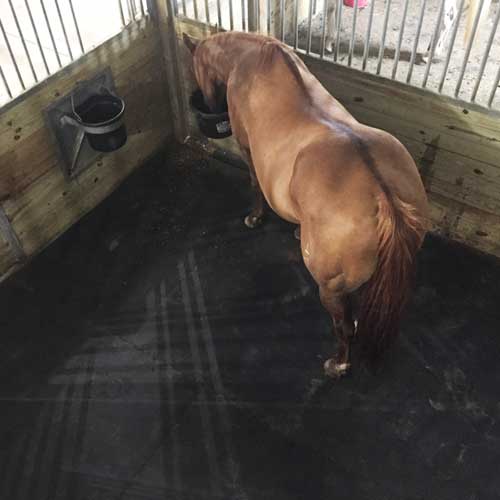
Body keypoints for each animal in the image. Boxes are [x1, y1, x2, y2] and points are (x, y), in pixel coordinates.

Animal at [184, 30, 430, 376]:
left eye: (196, 67)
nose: (207, 103)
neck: (252, 58)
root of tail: (384, 199)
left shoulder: (247, 149)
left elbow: (253, 184)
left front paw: (254, 217)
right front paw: (299, 231)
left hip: (329, 289)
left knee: (343, 327)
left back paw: (338, 363)